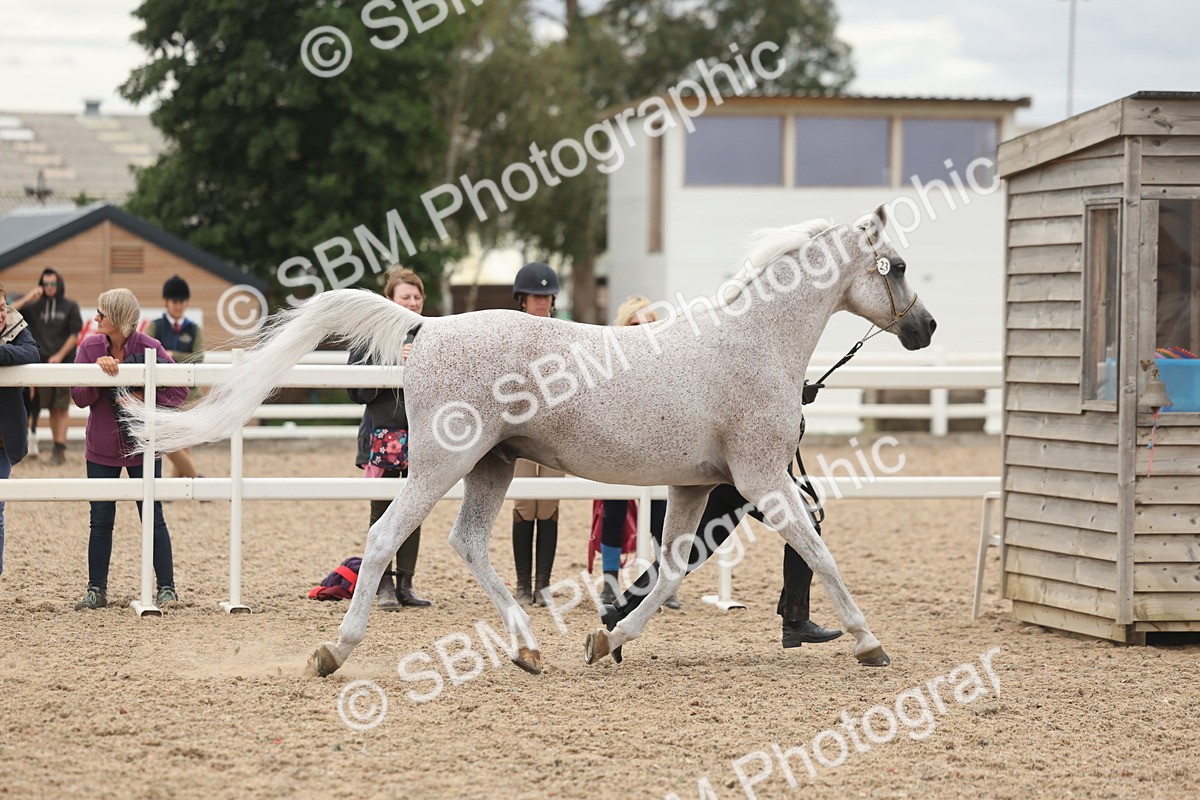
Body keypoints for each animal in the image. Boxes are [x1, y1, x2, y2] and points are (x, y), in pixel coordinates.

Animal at [121, 203, 935, 678]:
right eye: (894, 265)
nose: (925, 328)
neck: (749, 343)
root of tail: (427, 326)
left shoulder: (696, 485)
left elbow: (671, 570)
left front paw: (609, 639)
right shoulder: (763, 479)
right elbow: (820, 554)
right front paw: (869, 642)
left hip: (494, 466)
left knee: (467, 543)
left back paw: (529, 648)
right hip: (440, 464)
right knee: (385, 540)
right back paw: (334, 652)